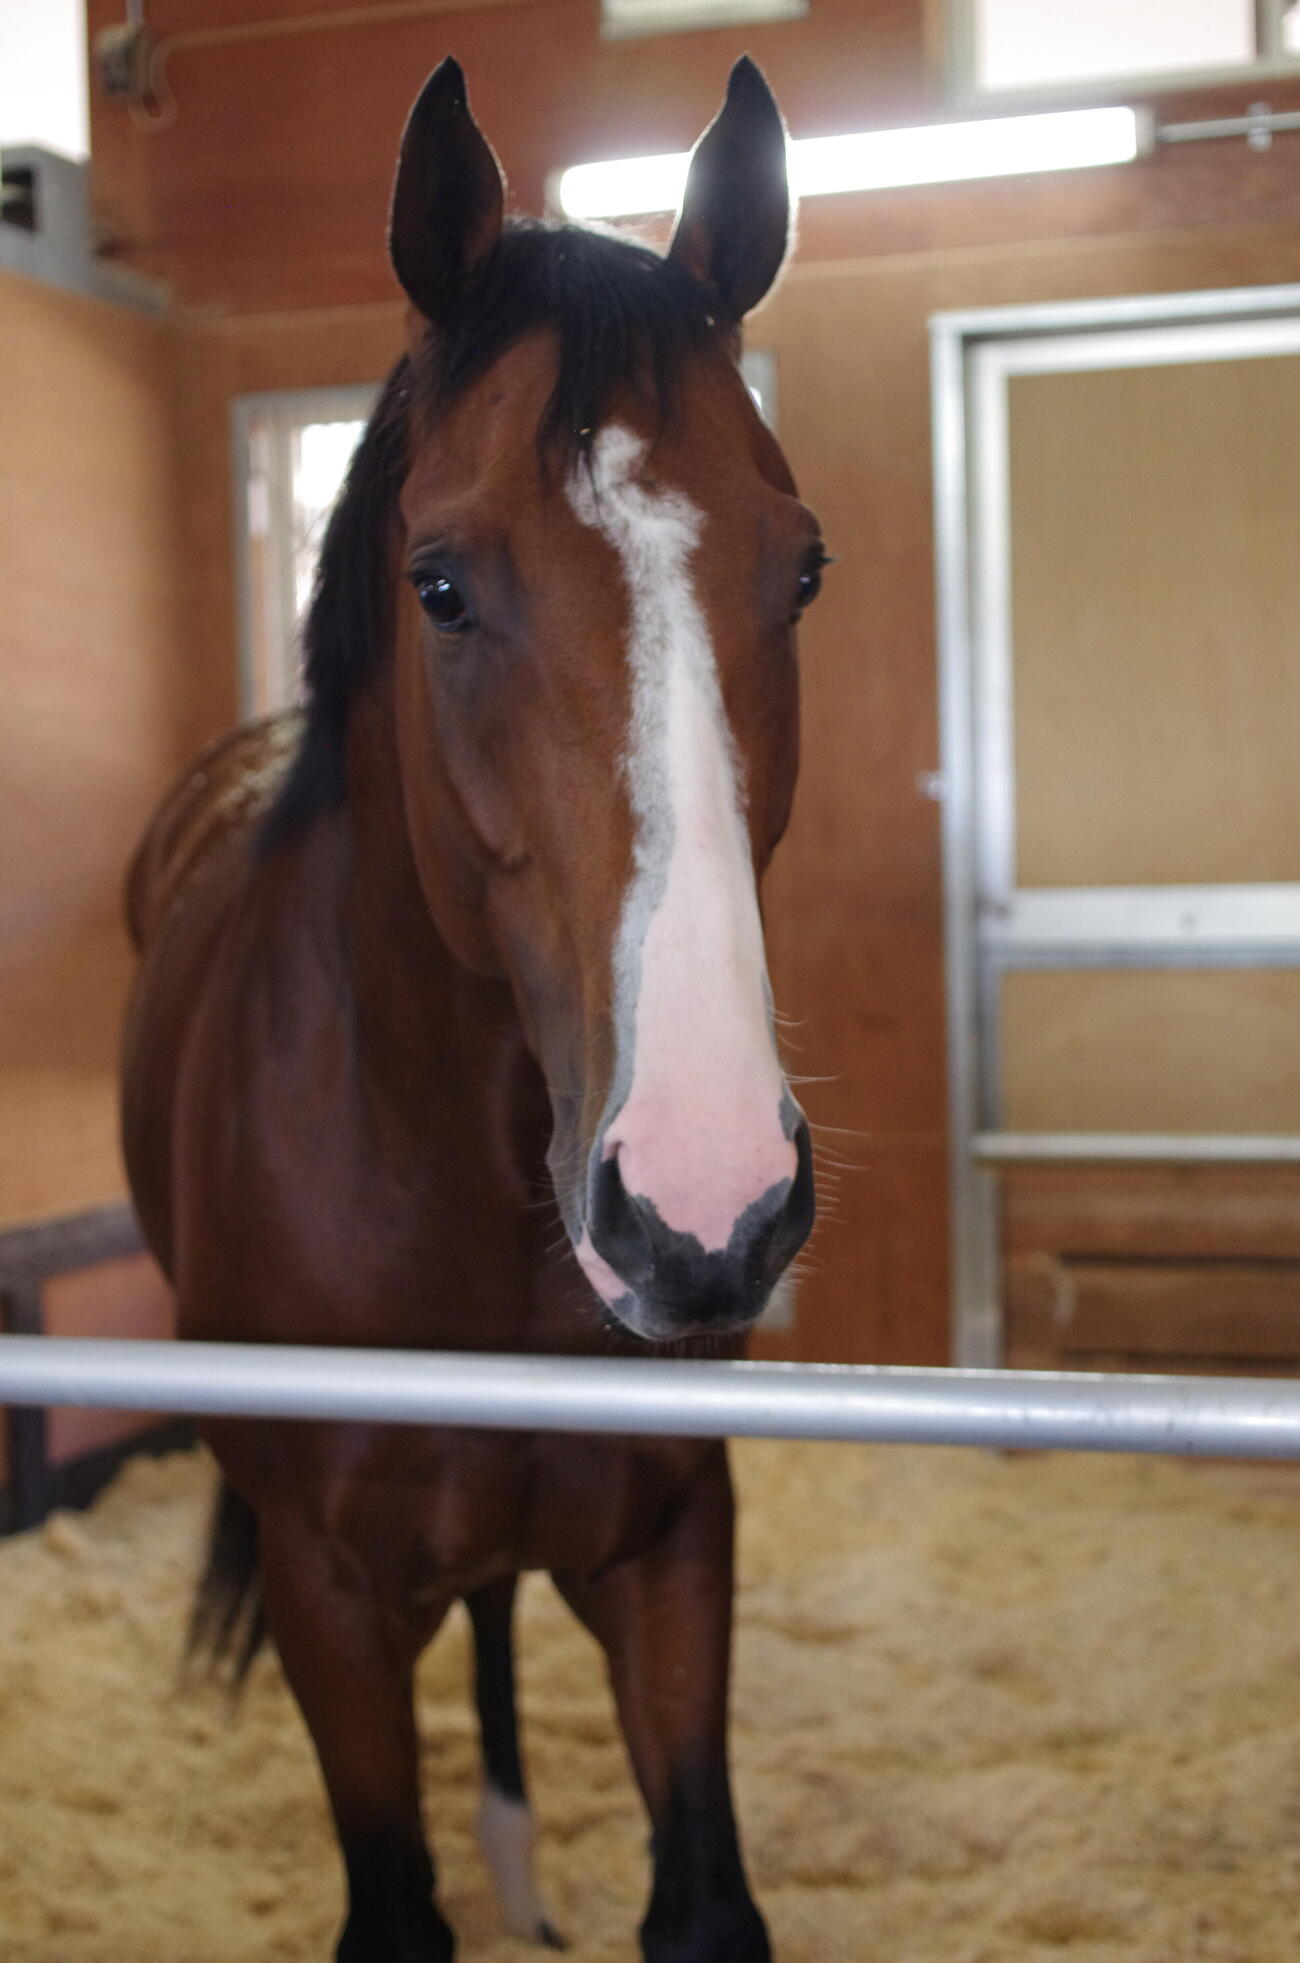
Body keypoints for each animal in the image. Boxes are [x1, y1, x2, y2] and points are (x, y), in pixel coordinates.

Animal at [121, 54, 825, 1963]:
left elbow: (705, 1901)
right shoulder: (330, 1598)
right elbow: (392, 1904)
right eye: (439, 582)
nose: (705, 1202)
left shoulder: (675, 1544)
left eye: (802, 567)